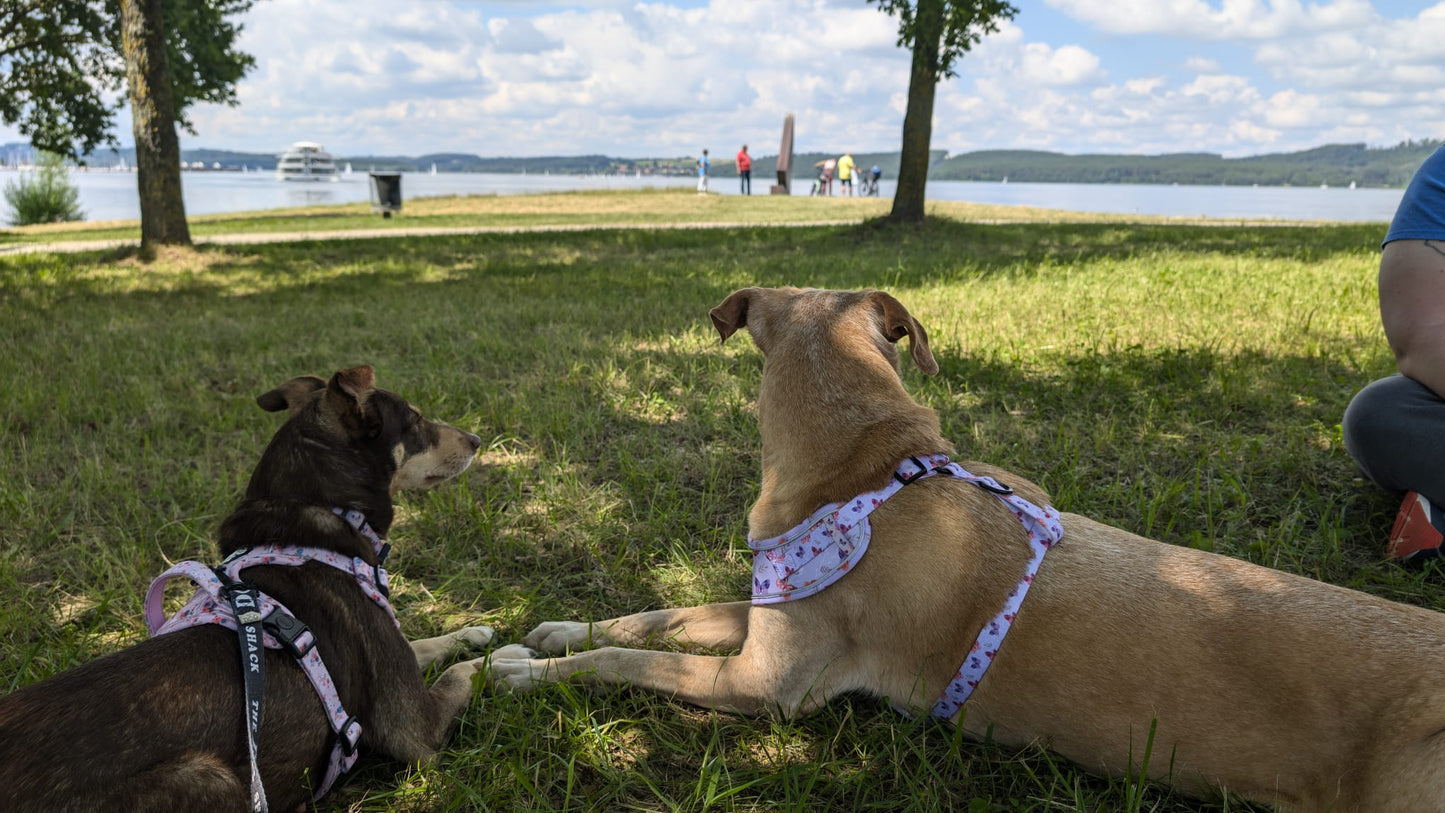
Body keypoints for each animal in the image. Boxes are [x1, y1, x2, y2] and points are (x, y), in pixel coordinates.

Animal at [2, 369, 494, 813]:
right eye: (415, 421)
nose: (476, 439)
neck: (318, 524)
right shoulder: (415, 728)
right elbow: (464, 672)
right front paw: (508, 659)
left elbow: (427, 644)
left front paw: (476, 632)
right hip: (210, 777)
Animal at [488, 288, 1445, 808]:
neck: (867, 460)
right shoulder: (766, 614)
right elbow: (655, 612)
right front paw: (554, 630)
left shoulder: (765, 685)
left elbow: (621, 660)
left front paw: (518, 672)